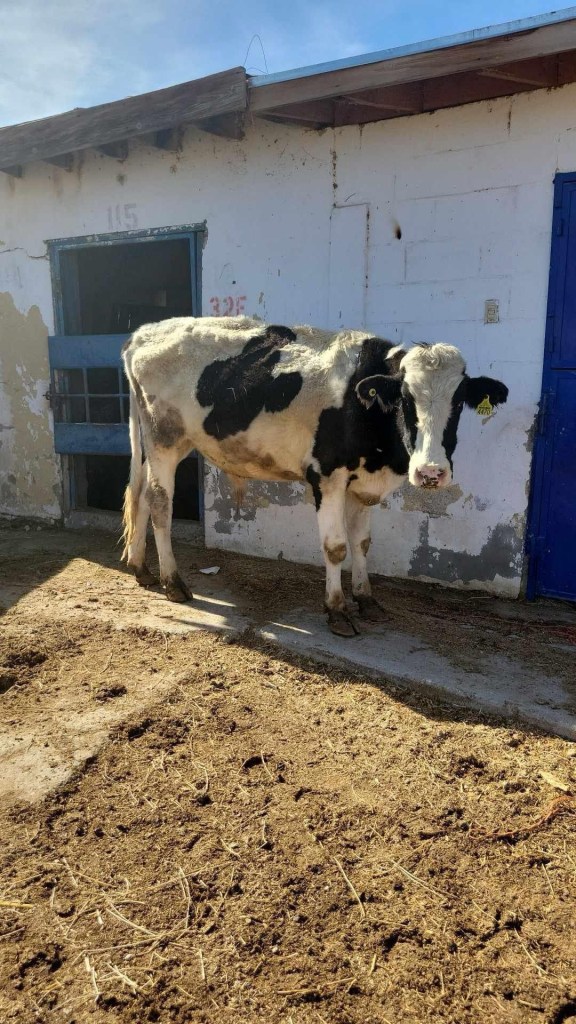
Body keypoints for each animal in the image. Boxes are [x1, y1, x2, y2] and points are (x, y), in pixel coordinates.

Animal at [121, 316, 508, 636]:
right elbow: (336, 547)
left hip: (155, 445)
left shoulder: (362, 485)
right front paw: (336, 610)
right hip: (165, 442)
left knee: (142, 496)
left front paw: (366, 599)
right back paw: (173, 582)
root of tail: (146, 332)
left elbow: (362, 543)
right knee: (160, 505)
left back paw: (141, 568)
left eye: (459, 401)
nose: (430, 472)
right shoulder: (327, 477)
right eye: (405, 399)